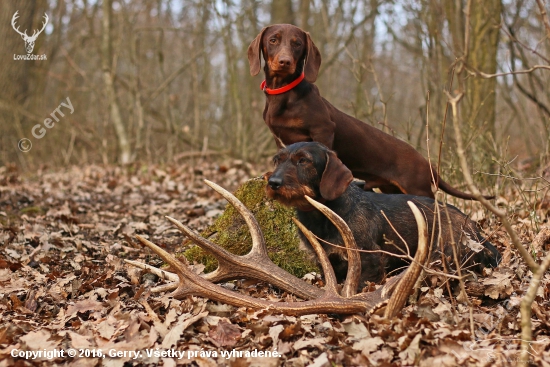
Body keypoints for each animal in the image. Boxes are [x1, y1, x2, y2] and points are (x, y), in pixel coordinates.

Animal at [252, 25, 494, 201]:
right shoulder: (278, 136)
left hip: (418, 189)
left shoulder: (323, 129)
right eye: (273, 40)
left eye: (298, 43)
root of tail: (428, 165)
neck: (284, 95)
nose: (285, 62)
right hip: (393, 190)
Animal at [266, 142, 502, 288]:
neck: (323, 216)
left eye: (303, 160)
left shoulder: (369, 260)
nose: (273, 183)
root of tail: (477, 231)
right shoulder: (326, 261)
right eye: (277, 160)